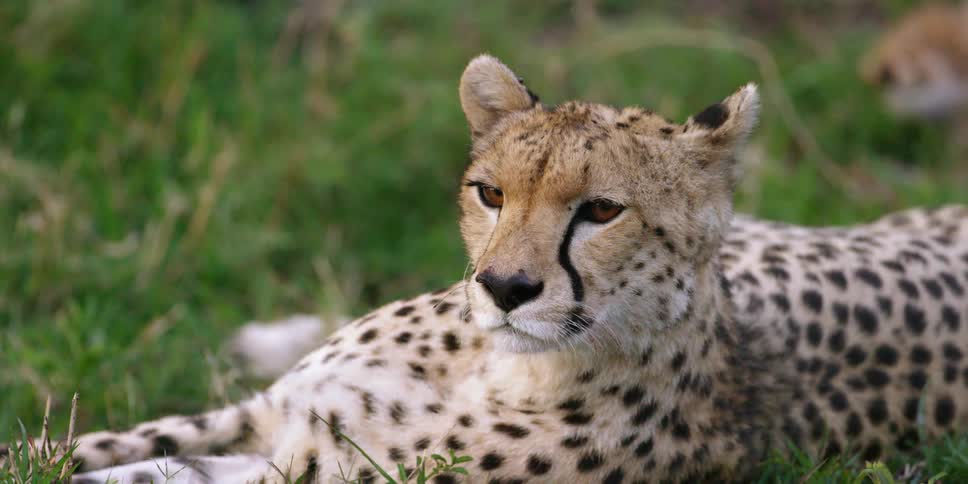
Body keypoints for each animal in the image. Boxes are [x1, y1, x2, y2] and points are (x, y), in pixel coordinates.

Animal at [15, 54, 968, 483]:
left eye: (601, 211)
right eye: (490, 192)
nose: (506, 289)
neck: (490, 366)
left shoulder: (306, 466)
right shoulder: (271, 418)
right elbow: (87, 449)